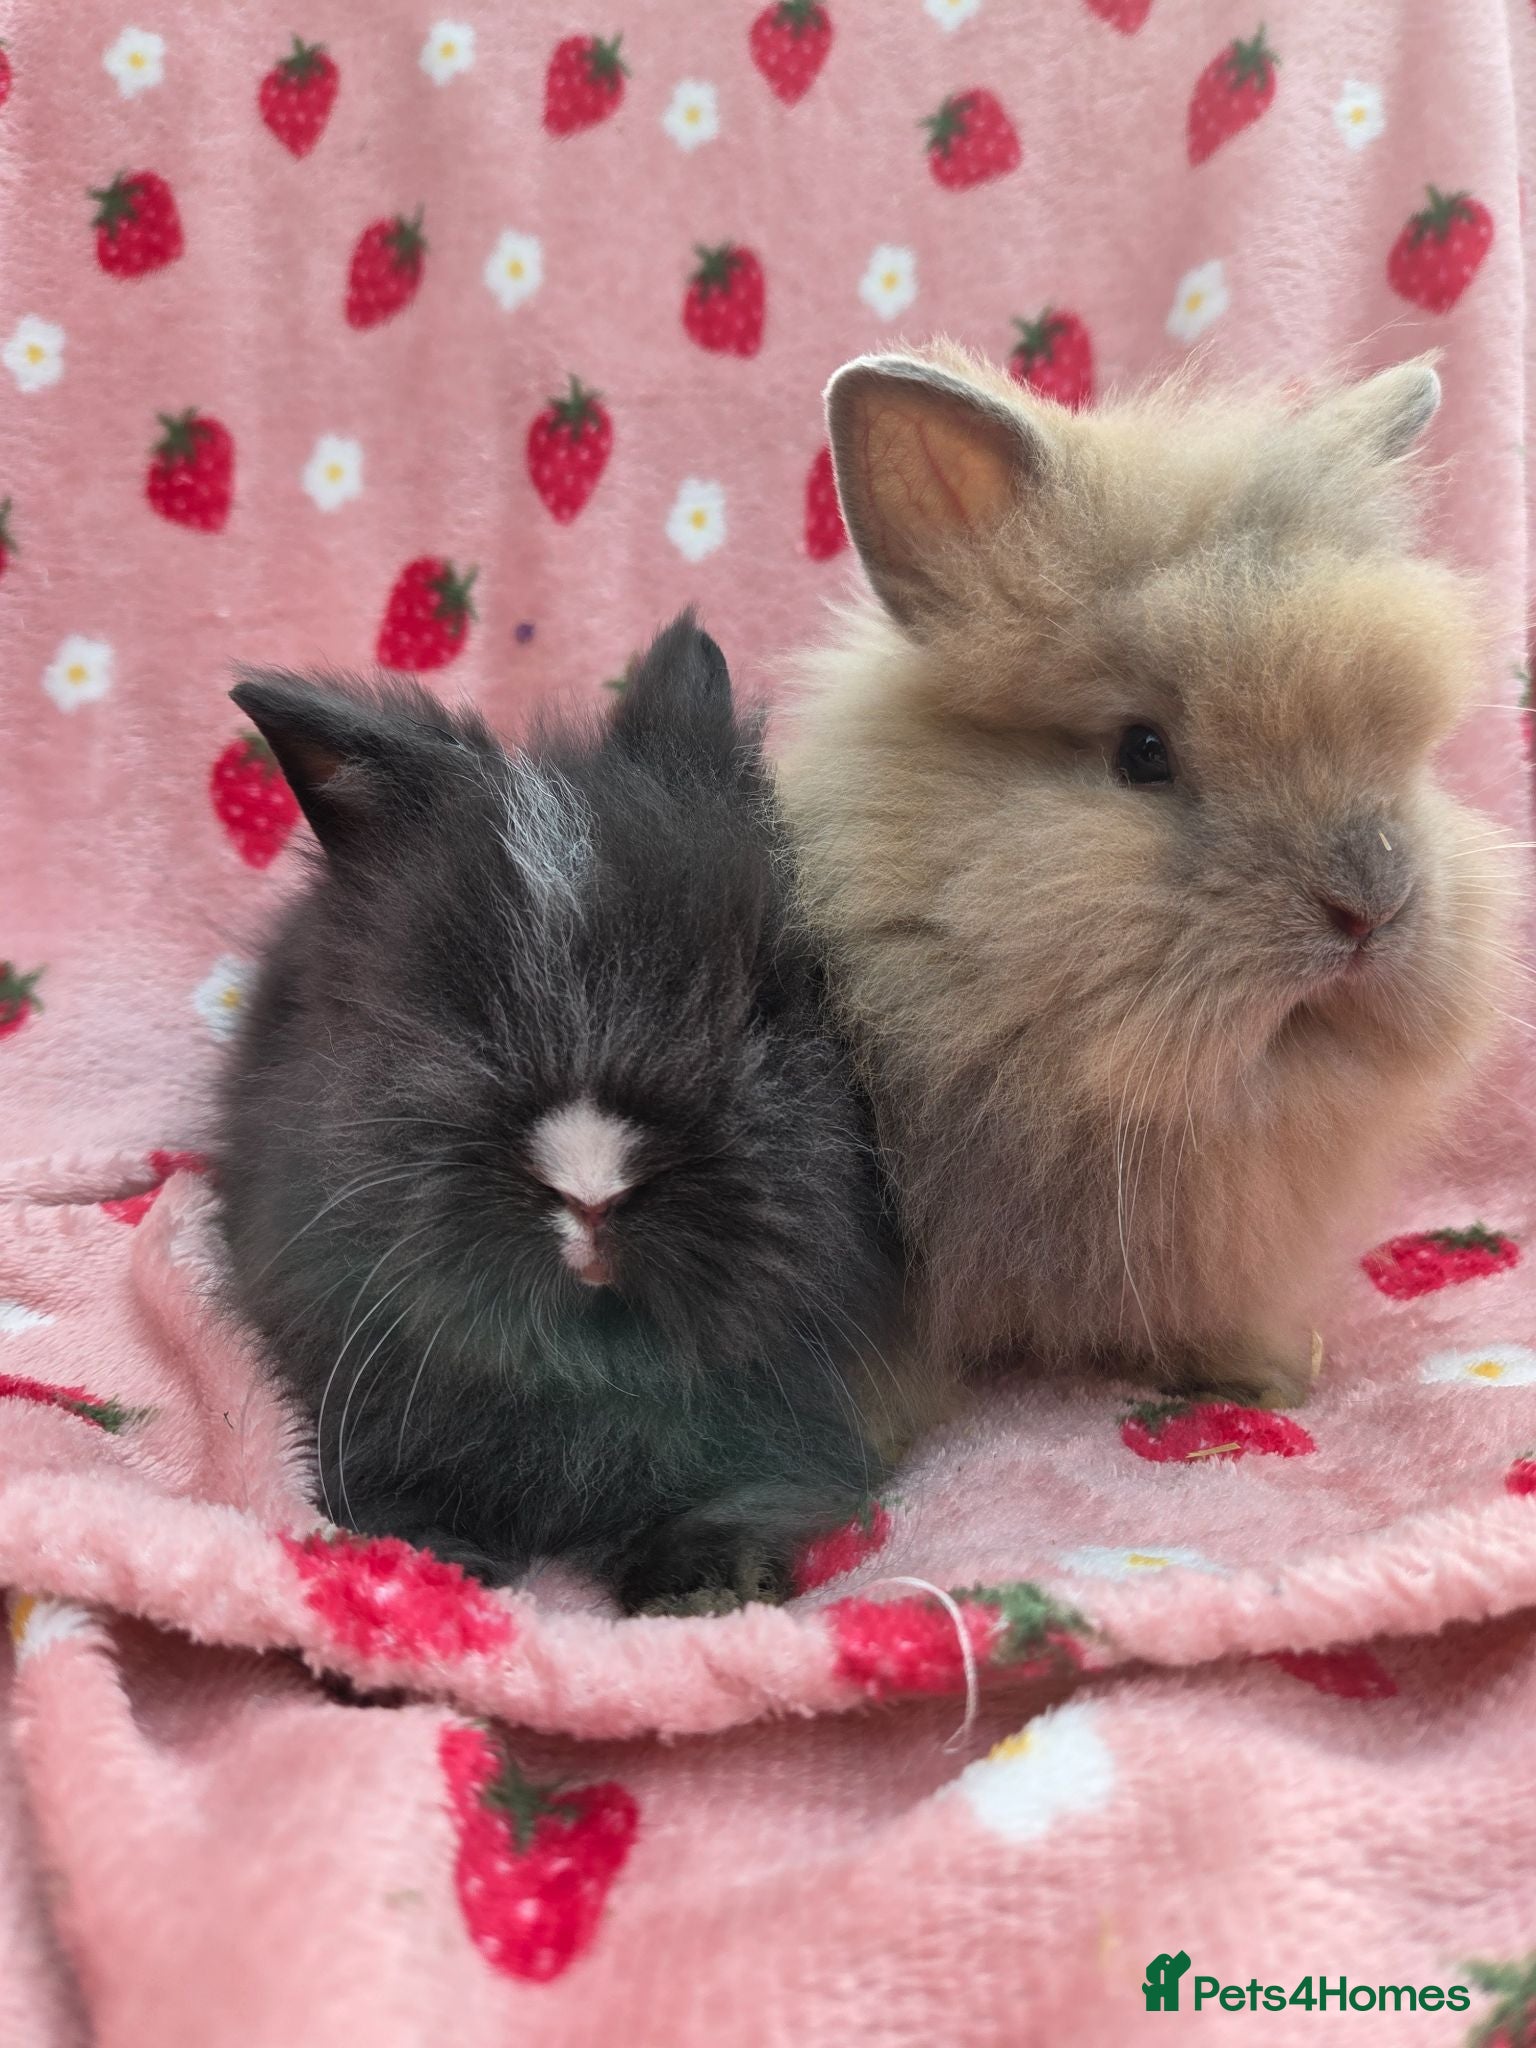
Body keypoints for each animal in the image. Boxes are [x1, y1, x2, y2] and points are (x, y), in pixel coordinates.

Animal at [214, 613, 921, 1613]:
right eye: (455, 1012)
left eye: (760, 1003)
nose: (592, 1184)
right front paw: (423, 1577)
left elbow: (747, 1494)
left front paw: (703, 1590)